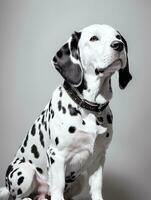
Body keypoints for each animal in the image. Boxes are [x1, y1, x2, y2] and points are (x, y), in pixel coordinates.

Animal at [0, 23, 132, 200]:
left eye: (118, 37)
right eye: (94, 38)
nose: (119, 45)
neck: (89, 107)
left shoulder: (99, 157)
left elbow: (97, 186)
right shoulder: (57, 155)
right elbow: (58, 187)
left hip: (80, 179)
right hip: (25, 173)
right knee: (18, 197)